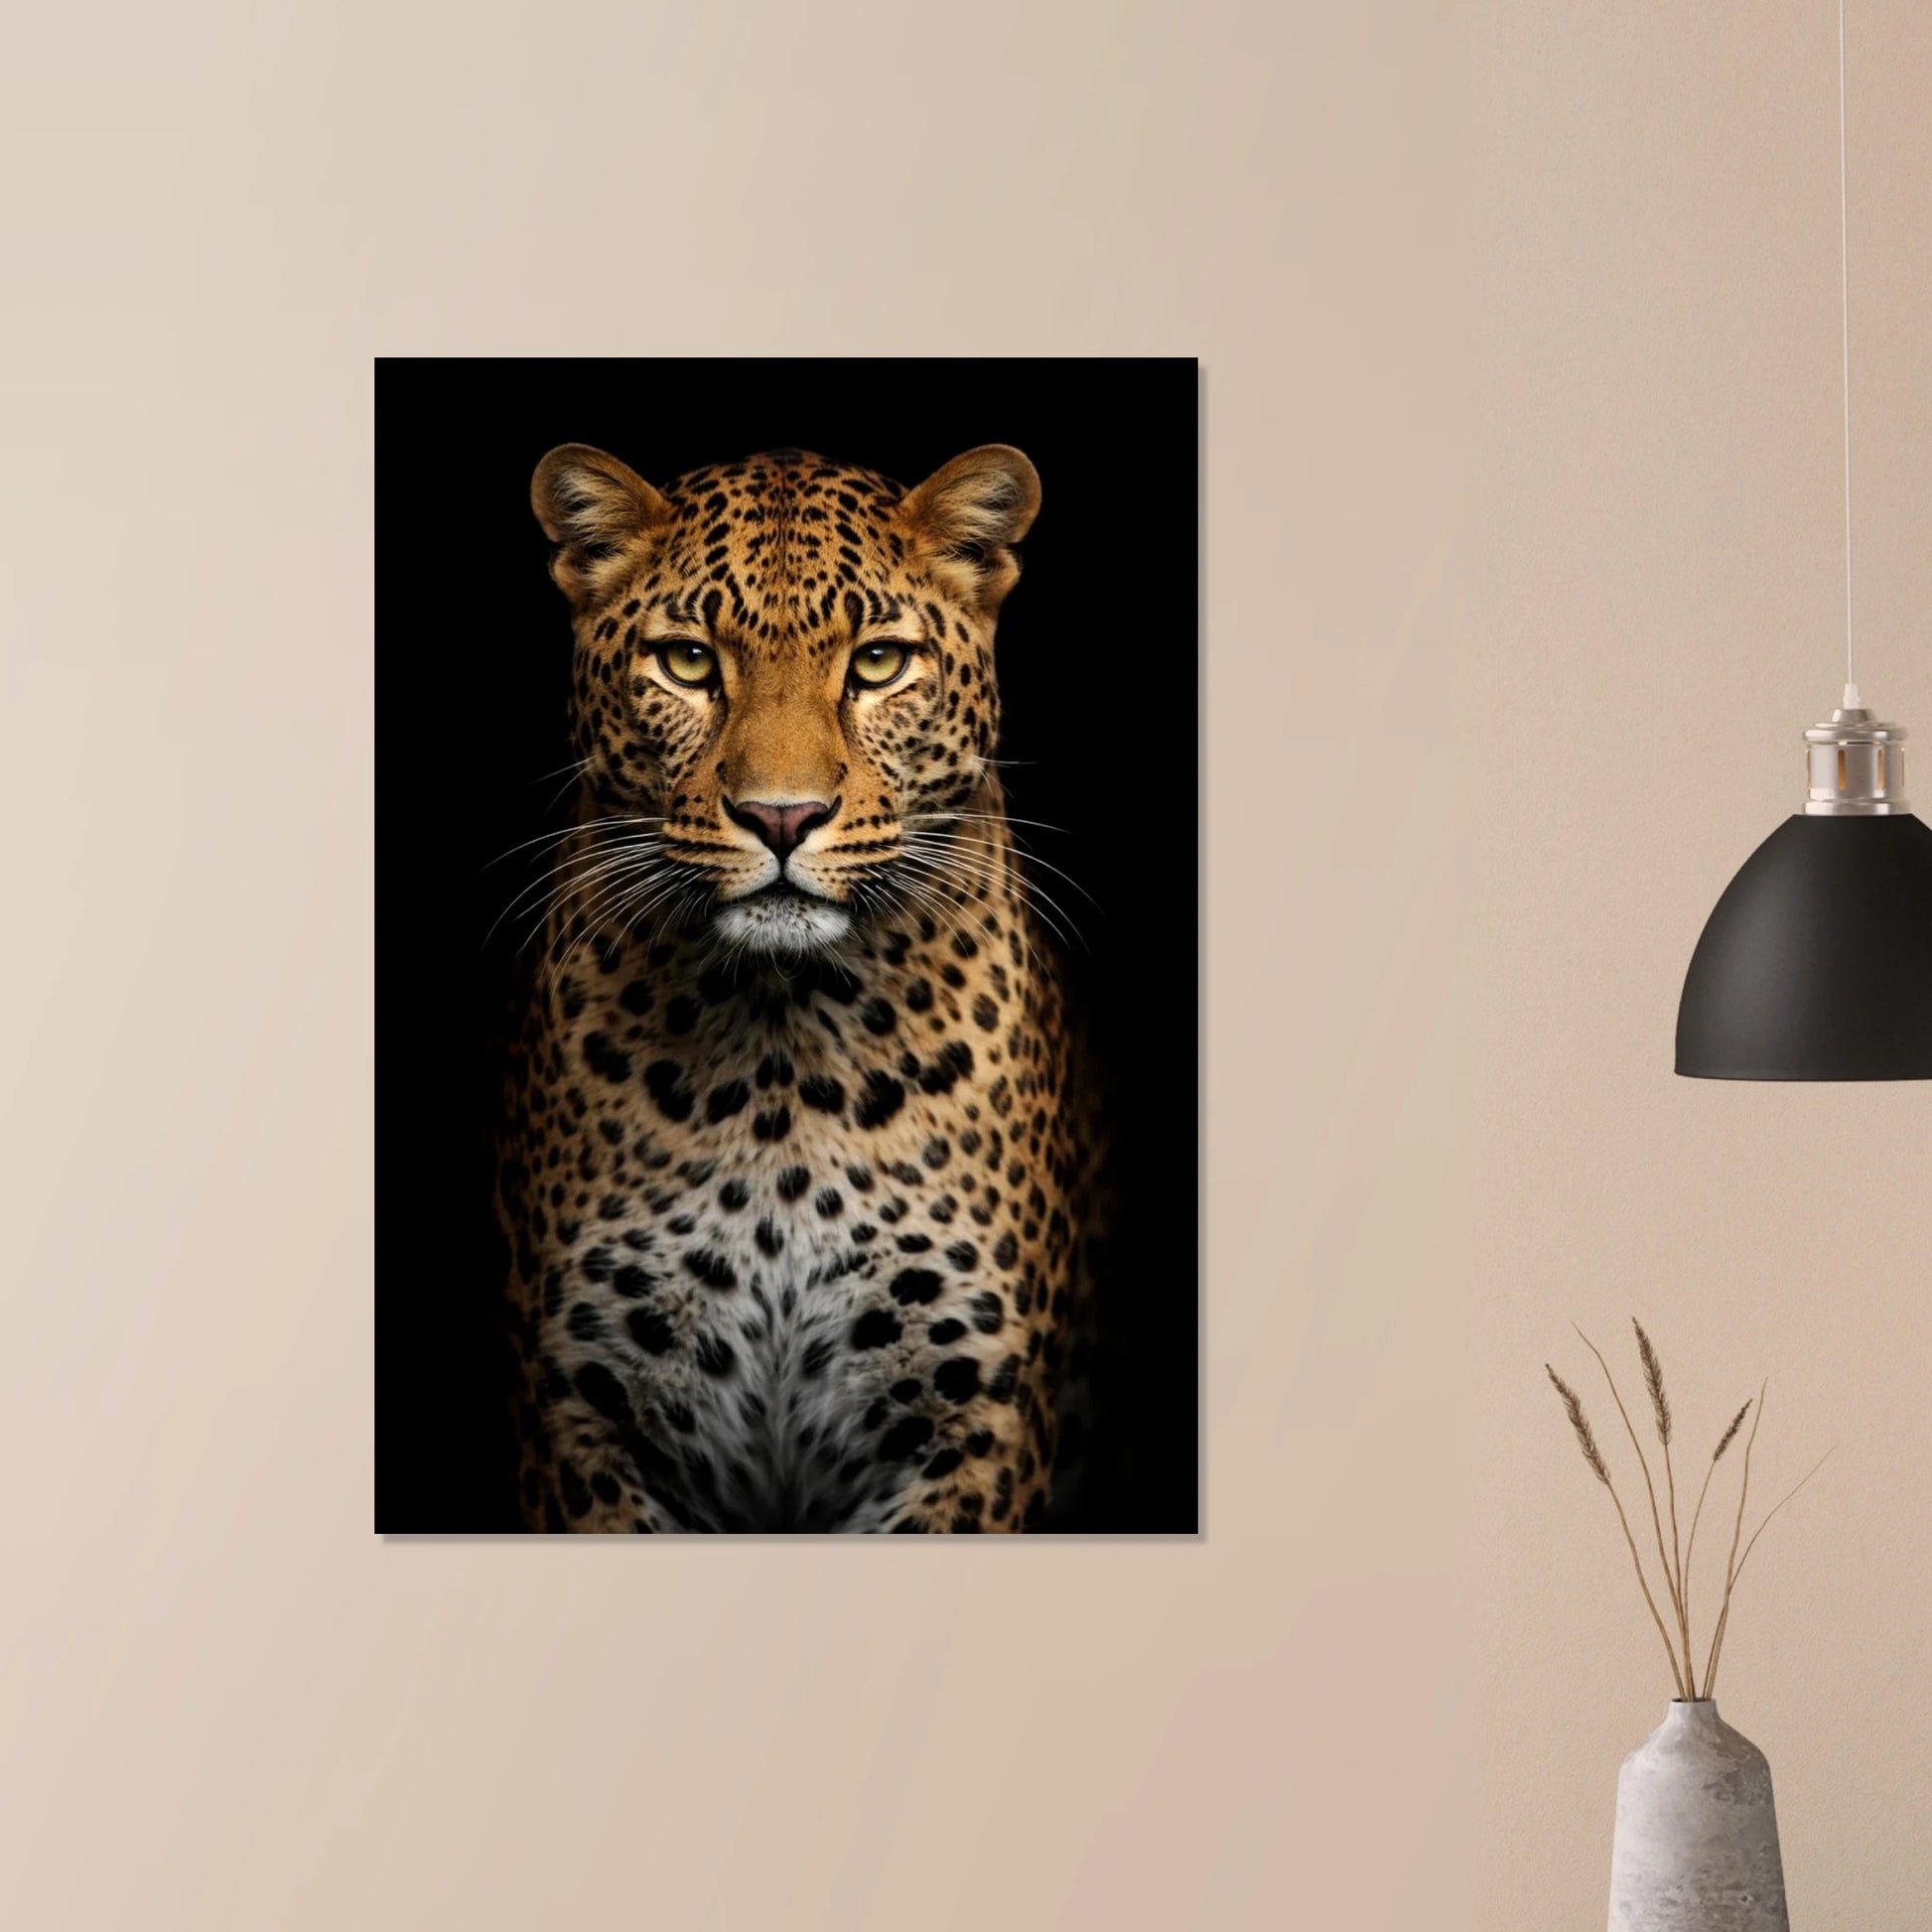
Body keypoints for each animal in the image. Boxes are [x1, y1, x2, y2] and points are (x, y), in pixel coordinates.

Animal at [493, 439, 1106, 1532]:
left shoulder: (971, 1423)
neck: (779, 1050)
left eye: (878, 662)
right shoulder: (580, 1414)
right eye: (689, 660)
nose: (782, 816)